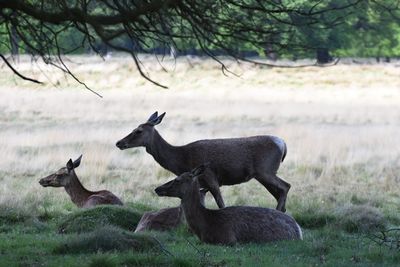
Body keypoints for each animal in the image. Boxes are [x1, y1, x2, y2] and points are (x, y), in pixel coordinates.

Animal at [116, 112, 290, 213]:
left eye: (138, 131)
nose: (119, 142)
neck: (181, 158)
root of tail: (283, 144)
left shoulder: (210, 178)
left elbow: (221, 204)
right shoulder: (201, 185)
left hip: (265, 170)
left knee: (285, 186)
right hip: (263, 174)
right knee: (280, 192)